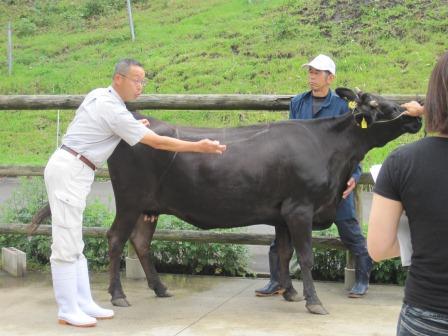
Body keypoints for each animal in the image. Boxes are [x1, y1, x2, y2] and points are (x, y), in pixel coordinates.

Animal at [106, 88, 420, 314]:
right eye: (378, 105)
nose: (414, 116)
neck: (331, 151)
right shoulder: (300, 209)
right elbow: (305, 256)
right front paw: (313, 301)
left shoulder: (282, 214)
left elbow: (283, 252)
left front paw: (290, 293)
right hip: (129, 201)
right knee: (116, 238)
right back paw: (118, 295)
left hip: (149, 207)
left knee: (141, 242)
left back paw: (160, 288)